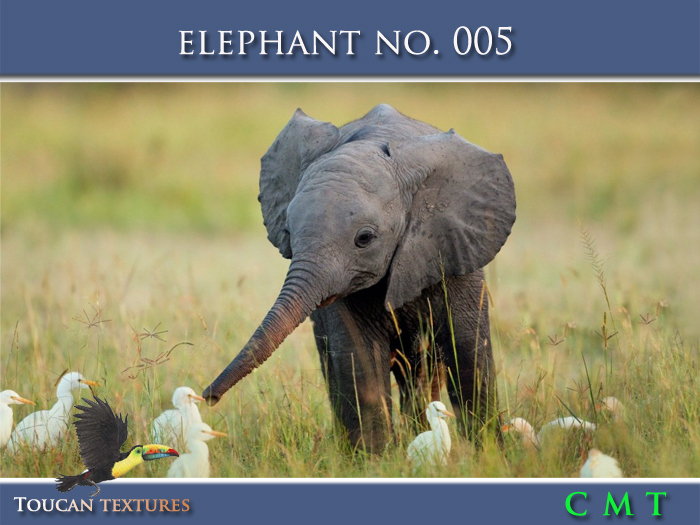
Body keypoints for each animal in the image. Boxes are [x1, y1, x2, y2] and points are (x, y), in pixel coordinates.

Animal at [203, 104, 516, 453]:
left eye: (364, 238)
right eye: (288, 232)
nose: (208, 397)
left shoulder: (455, 248)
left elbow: (468, 351)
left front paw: (490, 454)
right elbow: (359, 357)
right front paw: (375, 459)